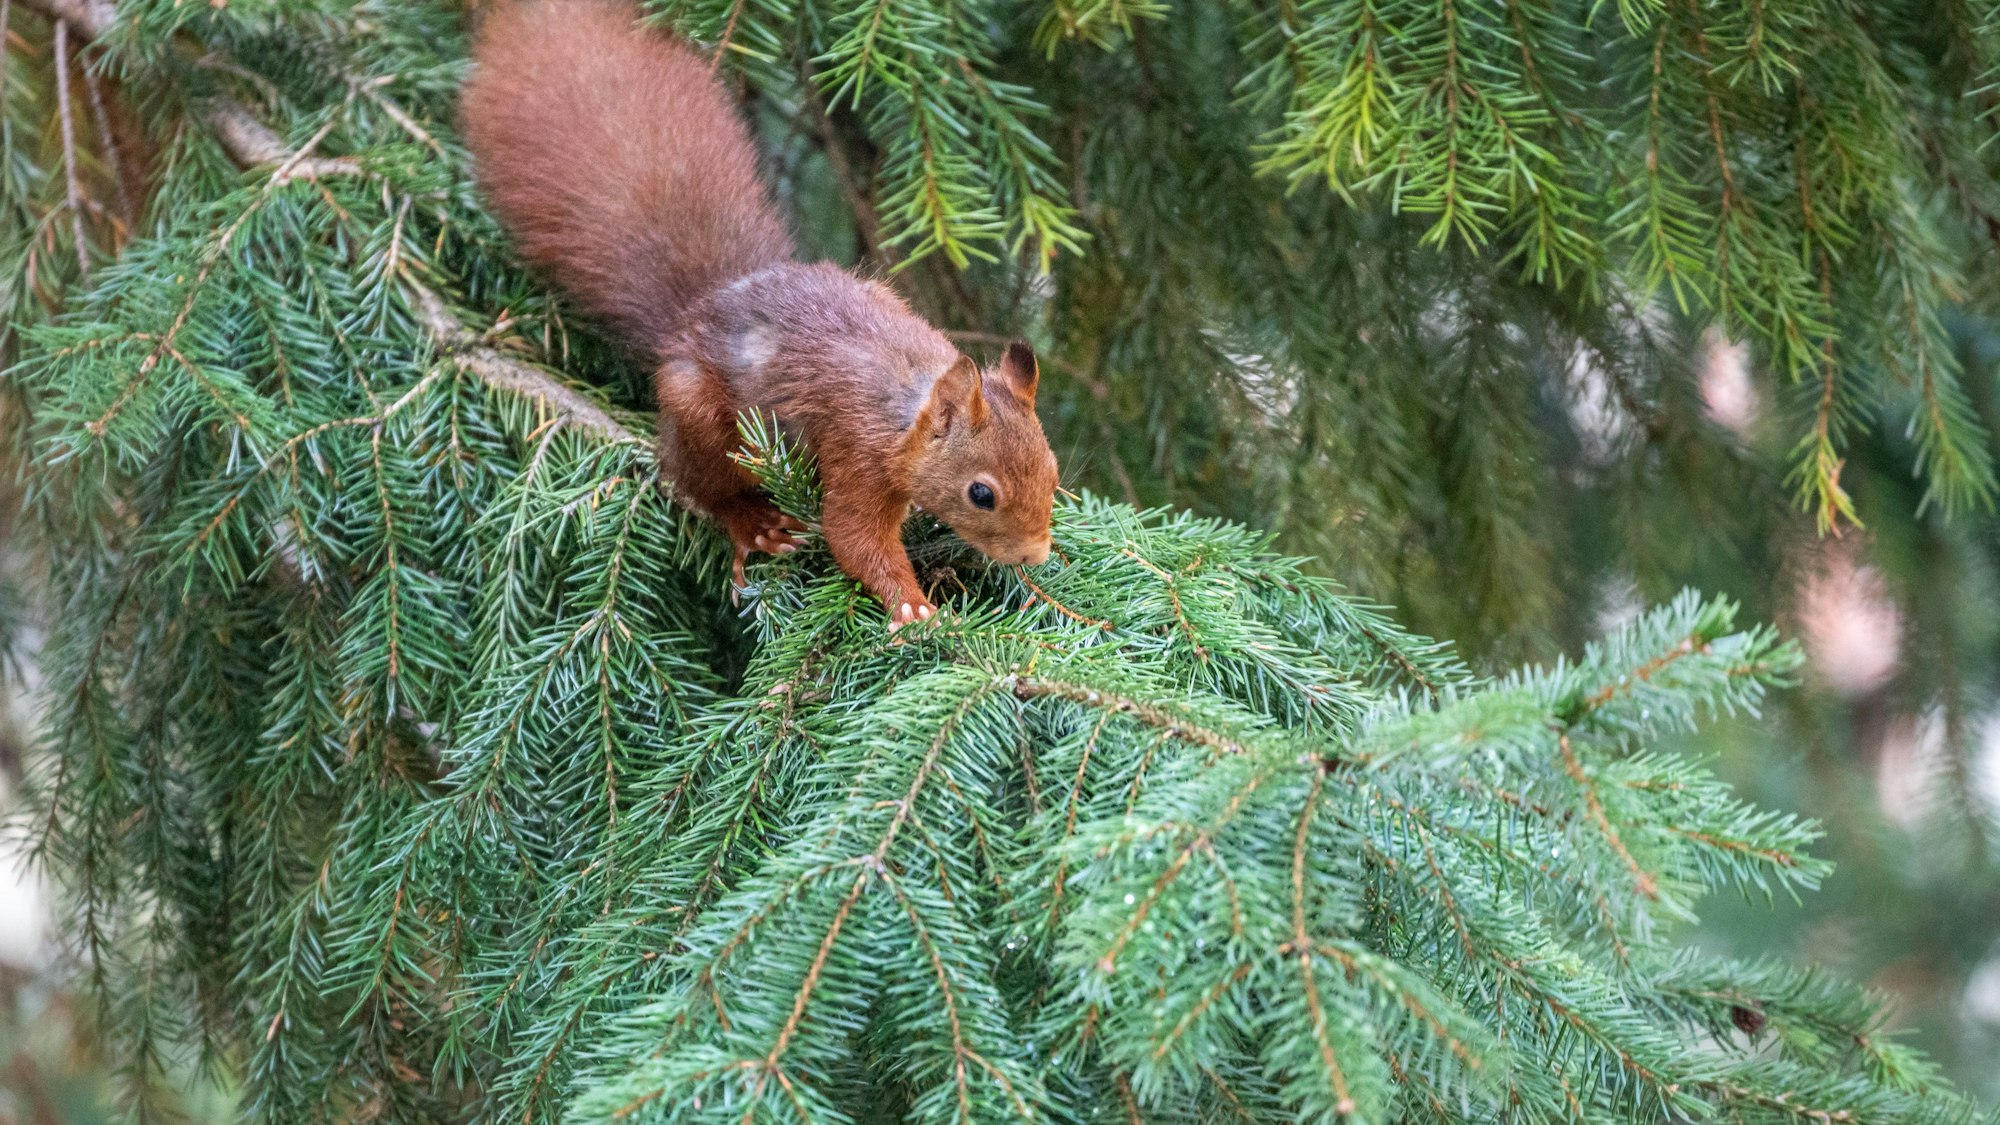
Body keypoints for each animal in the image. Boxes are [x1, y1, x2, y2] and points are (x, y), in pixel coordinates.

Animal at [458, 0, 1059, 629]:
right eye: (981, 494)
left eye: (1053, 472)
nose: (1036, 555)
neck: (907, 401)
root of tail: (700, 311)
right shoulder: (858, 453)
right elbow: (854, 537)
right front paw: (915, 609)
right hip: (698, 412)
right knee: (698, 484)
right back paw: (754, 524)